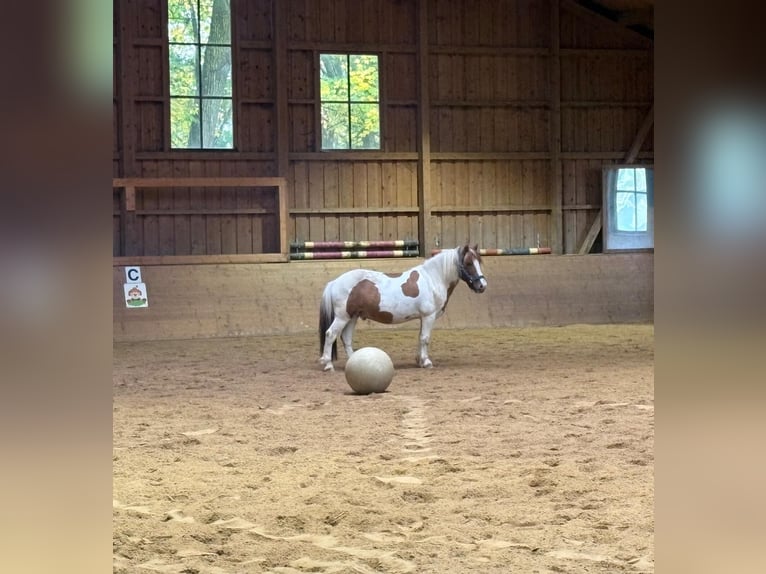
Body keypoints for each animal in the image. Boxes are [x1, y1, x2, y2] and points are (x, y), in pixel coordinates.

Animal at [318, 244, 488, 371]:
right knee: (330, 334)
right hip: (342, 317)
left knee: (346, 338)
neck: (432, 279)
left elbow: (420, 337)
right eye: (468, 263)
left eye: (479, 261)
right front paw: (426, 362)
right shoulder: (429, 316)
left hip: (352, 317)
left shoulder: (423, 318)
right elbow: (425, 338)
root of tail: (334, 282)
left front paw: (419, 361)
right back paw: (328, 364)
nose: (482, 285)